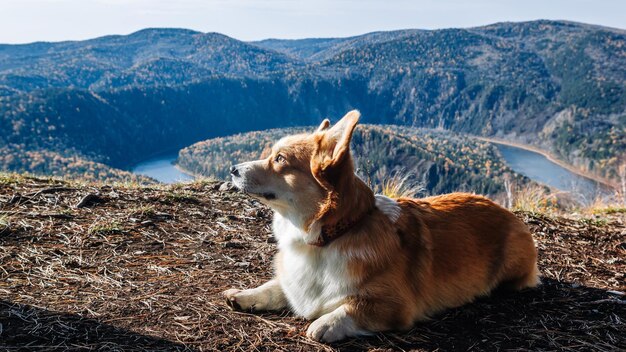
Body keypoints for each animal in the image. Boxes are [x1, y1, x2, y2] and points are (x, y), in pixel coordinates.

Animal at [223, 110, 536, 340]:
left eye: (280, 159)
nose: (232, 169)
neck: (329, 237)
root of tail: (507, 212)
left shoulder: (395, 305)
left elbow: (347, 309)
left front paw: (323, 323)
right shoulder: (292, 282)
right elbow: (275, 286)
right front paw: (242, 295)